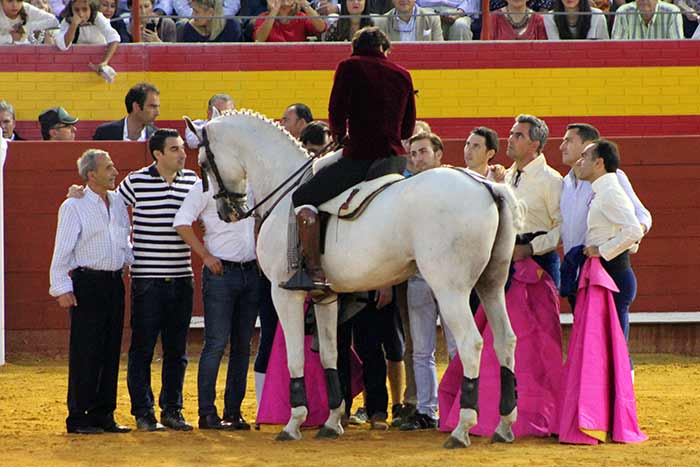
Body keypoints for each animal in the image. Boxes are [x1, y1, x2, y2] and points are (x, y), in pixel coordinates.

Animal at [187, 110, 524, 450]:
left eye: (203, 162)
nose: (227, 212)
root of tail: (487, 187)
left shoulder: (284, 294)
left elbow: (296, 357)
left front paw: (294, 423)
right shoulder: (325, 297)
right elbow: (329, 354)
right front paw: (332, 421)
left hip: (450, 290)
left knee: (471, 343)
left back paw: (461, 428)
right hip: (491, 285)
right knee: (505, 340)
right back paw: (504, 425)